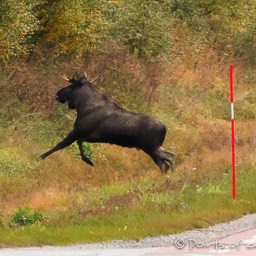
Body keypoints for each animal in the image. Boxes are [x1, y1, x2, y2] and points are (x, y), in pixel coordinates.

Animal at [40, 73, 176, 172]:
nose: (58, 94)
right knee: (163, 163)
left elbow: (60, 145)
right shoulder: (92, 136)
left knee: (170, 157)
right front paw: (88, 160)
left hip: (151, 146)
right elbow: (79, 143)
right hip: (150, 148)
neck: (82, 106)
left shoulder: (78, 131)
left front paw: (40, 157)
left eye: (71, 85)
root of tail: (165, 128)